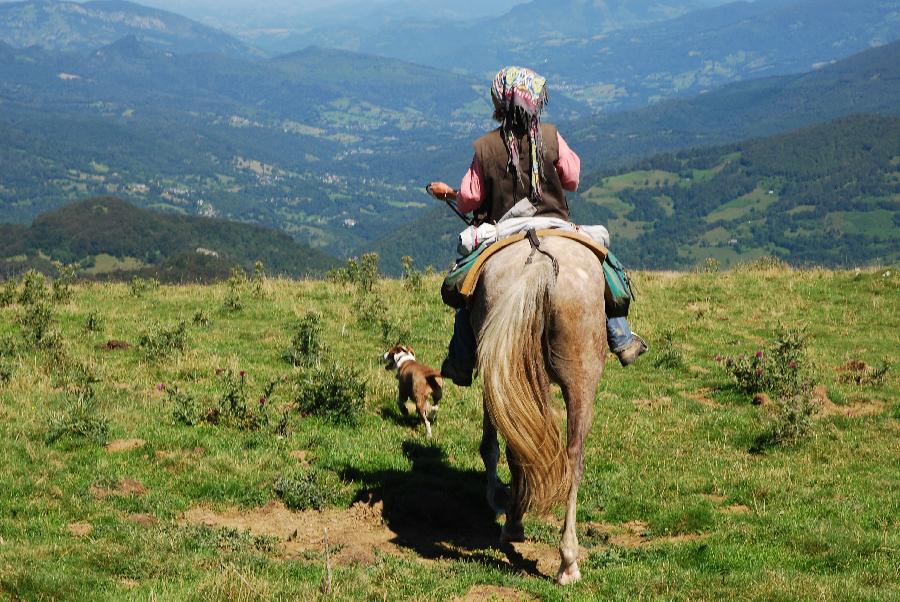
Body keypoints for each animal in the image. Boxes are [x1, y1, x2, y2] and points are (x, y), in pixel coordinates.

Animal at [468, 233, 608, 580]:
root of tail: (541, 259)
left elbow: (490, 445)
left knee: (532, 448)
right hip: (579, 374)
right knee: (571, 457)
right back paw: (567, 561)